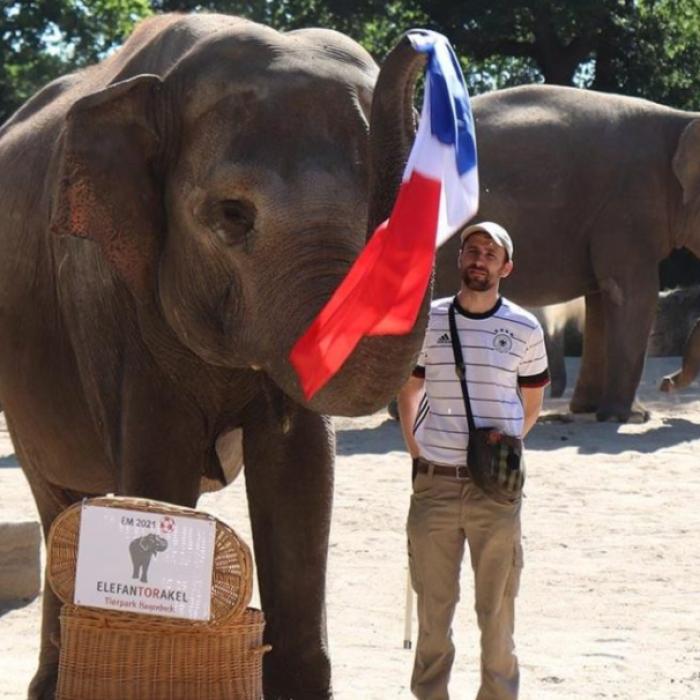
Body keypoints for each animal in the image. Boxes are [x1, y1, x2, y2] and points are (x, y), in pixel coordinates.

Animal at [0, 14, 431, 699]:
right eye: (232, 215)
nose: (417, 41)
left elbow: (301, 469)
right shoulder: (106, 290)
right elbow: (161, 465)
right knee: (59, 500)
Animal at [435, 84, 700, 422]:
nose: (666, 383)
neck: (682, 119)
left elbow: (602, 298)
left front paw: (591, 410)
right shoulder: (627, 208)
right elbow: (633, 294)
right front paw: (623, 416)